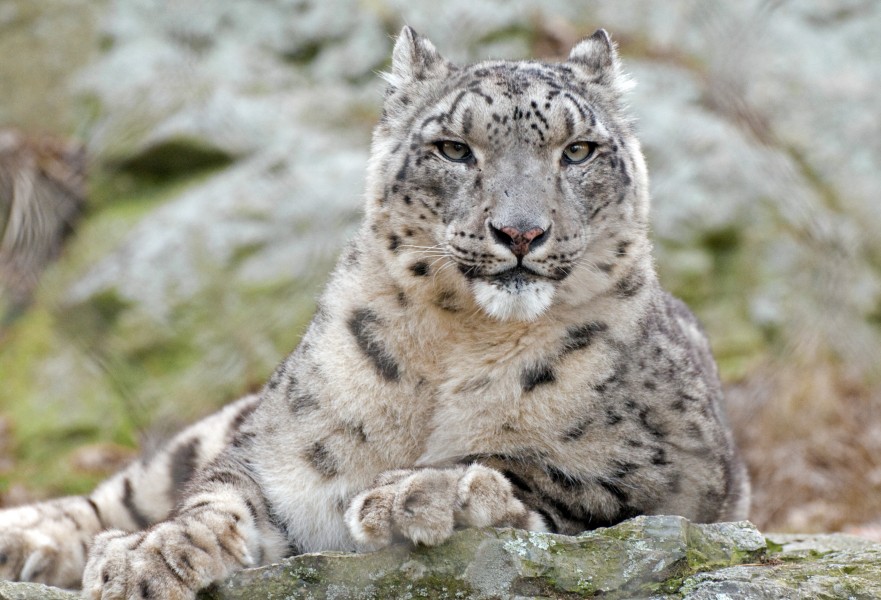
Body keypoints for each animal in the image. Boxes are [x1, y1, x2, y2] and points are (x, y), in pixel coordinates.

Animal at [0, 27, 749, 598]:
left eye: (579, 150)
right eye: (454, 148)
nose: (521, 232)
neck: (460, 341)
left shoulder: (672, 468)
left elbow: (544, 468)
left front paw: (422, 494)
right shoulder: (278, 458)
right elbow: (218, 496)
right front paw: (150, 556)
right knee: (130, 486)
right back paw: (26, 541)